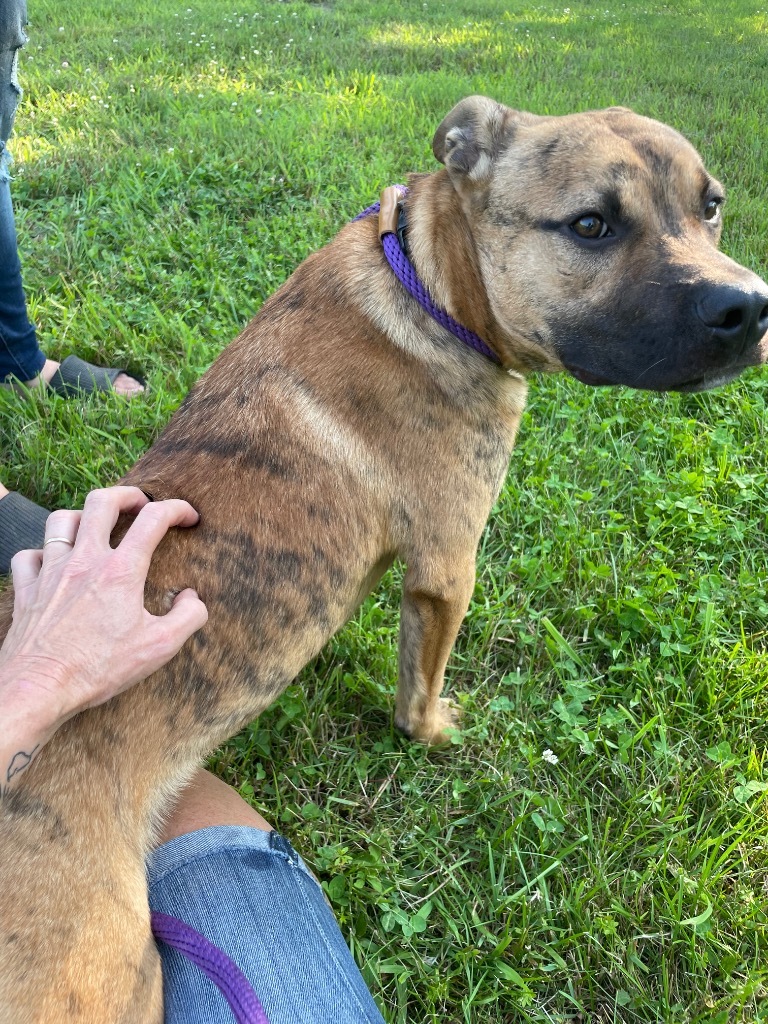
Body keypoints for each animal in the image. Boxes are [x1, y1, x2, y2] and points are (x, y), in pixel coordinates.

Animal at [4, 94, 768, 1015]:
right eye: (591, 225)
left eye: (712, 205)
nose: (750, 307)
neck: (430, 286)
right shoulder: (447, 570)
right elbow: (420, 685)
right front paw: (431, 732)